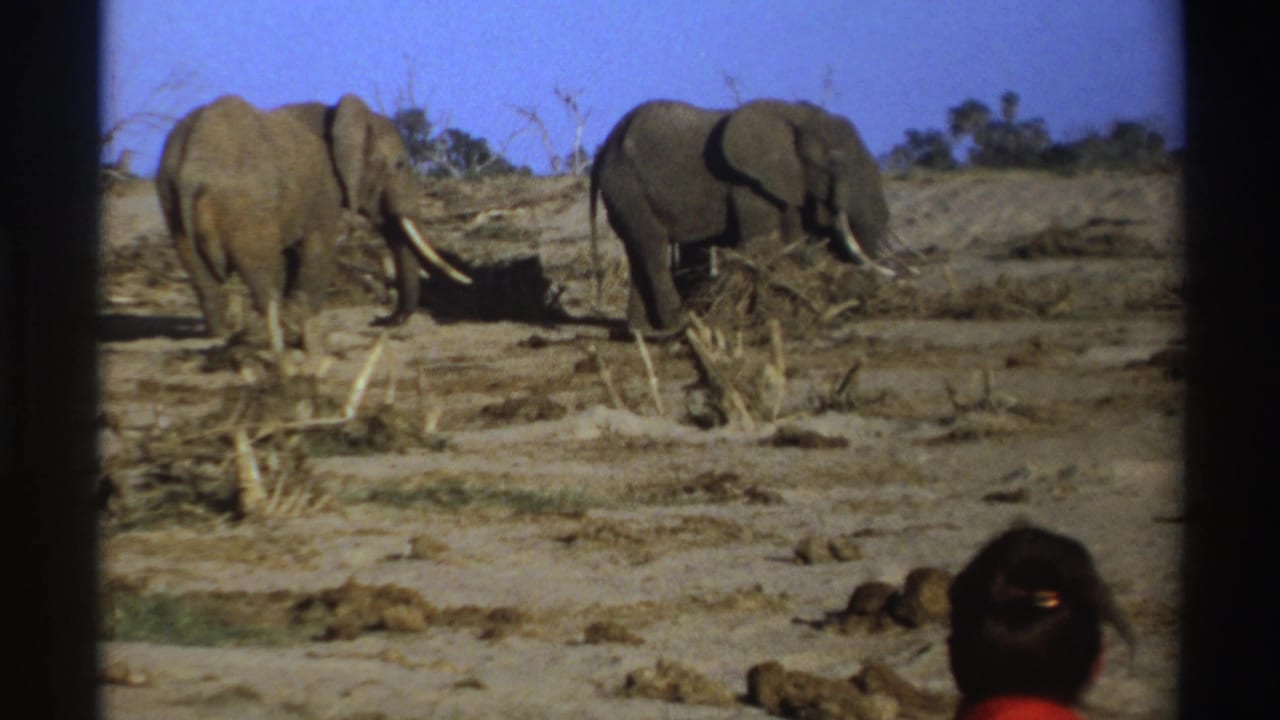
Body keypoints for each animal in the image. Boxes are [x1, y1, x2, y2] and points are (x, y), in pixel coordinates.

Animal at [156, 93, 470, 349]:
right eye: (399, 165)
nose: (379, 320)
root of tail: (191, 169)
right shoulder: (323, 190)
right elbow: (317, 248)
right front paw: (307, 320)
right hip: (244, 205)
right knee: (262, 268)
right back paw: (276, 331)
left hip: (171, 200)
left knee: (200, 271)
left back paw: (220, 334)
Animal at [589, 99, 896, 335]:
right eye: (833, 162)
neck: (794, 115)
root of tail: (604, 147)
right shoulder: (749, 187)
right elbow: (766, 242)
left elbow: (795, 239)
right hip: (626, 185)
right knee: (652, 247)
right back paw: (680, 325)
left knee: (640, 251)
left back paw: (643, 331)